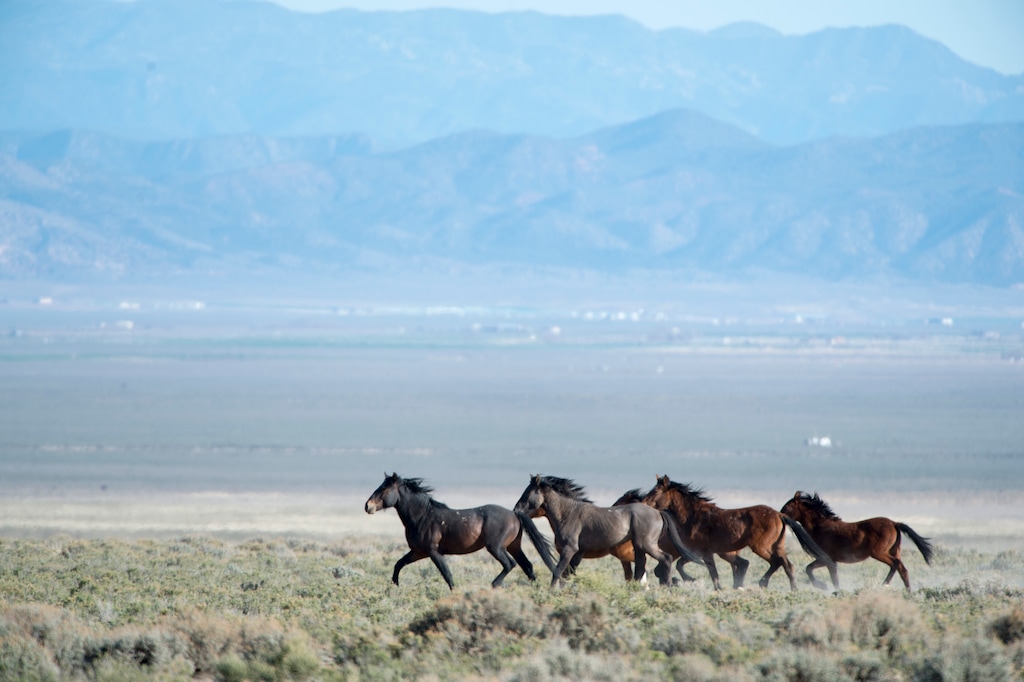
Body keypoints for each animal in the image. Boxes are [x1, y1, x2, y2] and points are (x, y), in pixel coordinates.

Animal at [364, 473, 556, 589]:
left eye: (384, 489)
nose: (368, 506)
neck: (421, 516)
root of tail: (514, 513)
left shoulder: (433, 552)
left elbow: (447, 575)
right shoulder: (418, 552)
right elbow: (398, 564)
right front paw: (394, 586)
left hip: (496, 547)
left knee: (510, 564)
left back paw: (494, 584)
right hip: (513, 546)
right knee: (527, 566)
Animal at [513, 474, 703, 588]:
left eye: (528, 493)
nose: (516, 509)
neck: (568, 513)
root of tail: (658, 513)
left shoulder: (570, 550)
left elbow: (558, 571)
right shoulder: (575, 553)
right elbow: (566, 574)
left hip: (647, 545)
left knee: (666, 559)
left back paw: (668, 585)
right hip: (639, 548)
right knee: (640, 569)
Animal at [642, 475, 835, 591]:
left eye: (656, 491)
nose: (643, 503)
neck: (693, 516)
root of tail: (780, 515)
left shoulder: (704, 552)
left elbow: (712, 573)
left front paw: (709, 586)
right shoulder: (695, 552)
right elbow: (682, 565)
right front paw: (691, 580)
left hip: (761, 547)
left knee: (779, 563)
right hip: (776, 546)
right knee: (785, 564)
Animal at [780, 491, 934, 591]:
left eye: (787, 507)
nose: (780, 515)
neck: (820, 526)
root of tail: (895, 523)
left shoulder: (827, 559)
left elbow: (828, 577)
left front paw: (825, 587)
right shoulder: (826, 560)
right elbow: (810, 569)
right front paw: (823, 586)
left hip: (878, 553)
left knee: (895, 564)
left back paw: (885, 583)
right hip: (894, 551)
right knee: (903, 570)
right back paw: (908, 593)